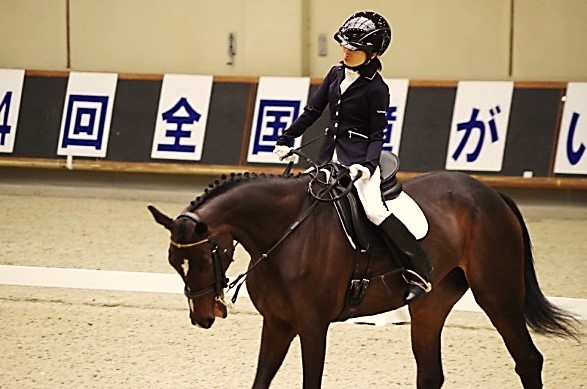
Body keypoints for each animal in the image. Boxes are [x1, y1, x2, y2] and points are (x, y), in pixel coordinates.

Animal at [149, 164, 580, 388]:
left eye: (204, 257)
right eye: (173, 262)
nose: (203, 317)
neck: (284, 232)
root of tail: (490, 194)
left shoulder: (312, 325)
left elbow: (310, 381)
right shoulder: (277, 323)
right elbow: (260, 380)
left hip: (497, 295)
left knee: (528, 360)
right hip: (431, 304)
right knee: (430, 372)